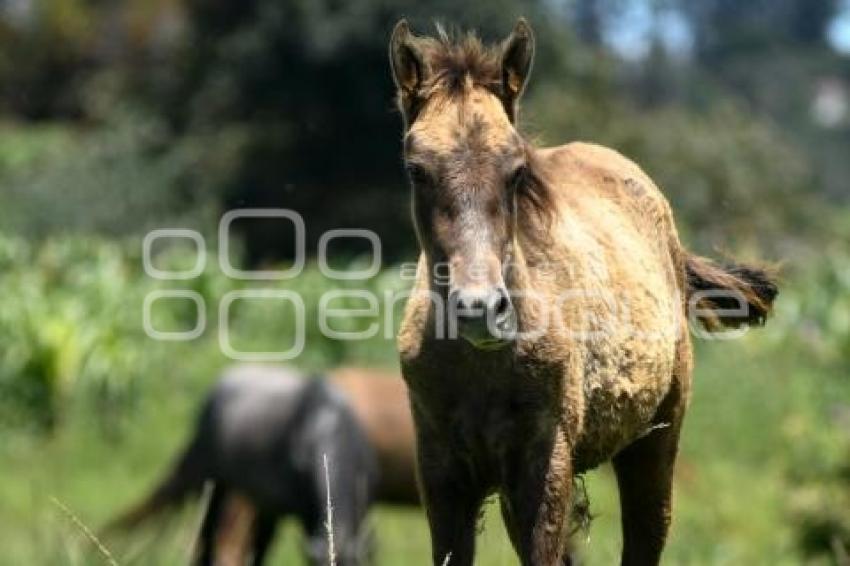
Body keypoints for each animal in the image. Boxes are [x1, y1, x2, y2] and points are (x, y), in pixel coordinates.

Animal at [390, 17, 776, 566]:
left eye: (517, 170)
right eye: (415, 169)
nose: (479, 309)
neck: (482, 365)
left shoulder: (545, 459)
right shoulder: (442, 471)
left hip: (655, 442)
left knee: (646, 535)